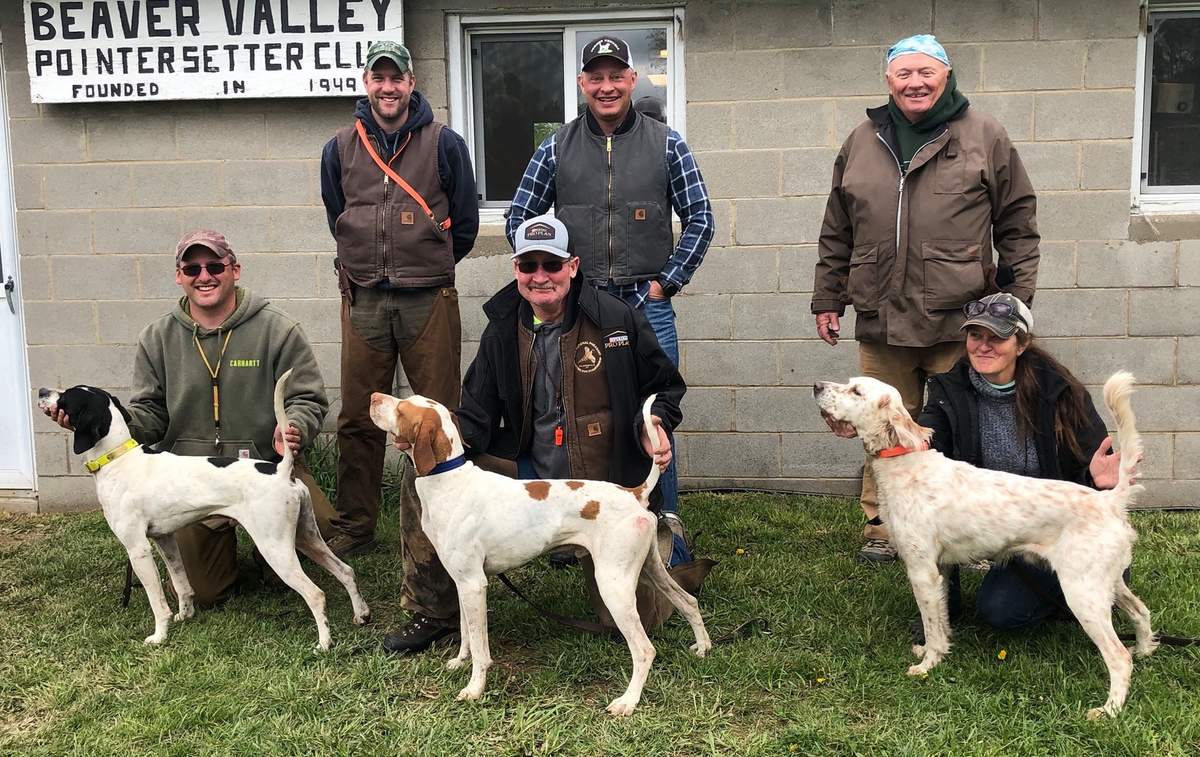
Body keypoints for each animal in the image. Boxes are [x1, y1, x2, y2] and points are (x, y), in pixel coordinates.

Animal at [39, 369, 367, 647]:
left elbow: (157, 601)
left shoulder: (137, 548)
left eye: (66, 396)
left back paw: (324, 643)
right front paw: (185, 616)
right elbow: (182, 584)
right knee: (346, 571)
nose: (42, 390)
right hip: (307, 537)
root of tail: (281, 471)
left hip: (276, 548)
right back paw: (360, 615)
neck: (118, 458)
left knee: (316, 593)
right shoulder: (165, 540)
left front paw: (159, 636)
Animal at [369, 391, 705, 715]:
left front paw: (474, 688)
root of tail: (633, 493)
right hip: (650, 569)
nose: (373, 397)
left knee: (645, 649)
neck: (449, 481)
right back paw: (702, 648)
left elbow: (480, 648)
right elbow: (466, 633)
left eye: (401, 409)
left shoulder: (474, 584)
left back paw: (628, 702)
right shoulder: (462, 582)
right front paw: (460, 661)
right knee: (688, 601)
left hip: (614, 586)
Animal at [811, 376, 1156, 719]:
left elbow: (931, 624)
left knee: (1118, 656)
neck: (905, 463)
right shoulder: (940, 570)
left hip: (1082, 594)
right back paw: (1144, 649)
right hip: (1107, 584)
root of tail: (1108, 500)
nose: (816, 386)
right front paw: (936, 651)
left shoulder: (921, 571)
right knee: (1141, 612)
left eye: (856, 391)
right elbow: (941, 620)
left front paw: (926, 665)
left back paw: (1108, 709)